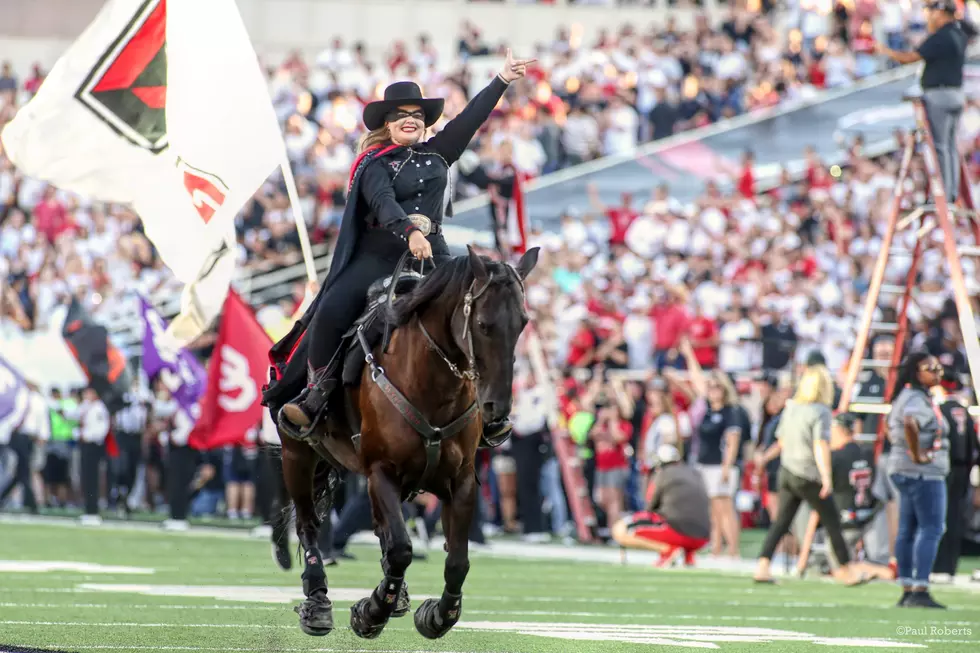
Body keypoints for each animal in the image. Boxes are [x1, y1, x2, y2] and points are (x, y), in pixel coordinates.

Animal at [276, 244, 540, 636]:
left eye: (522, 323)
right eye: (482, 324)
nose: (497, 407)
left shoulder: (460, 481)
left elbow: (457, 561)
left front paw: (438, 615)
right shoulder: (381, 472)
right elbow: (401, 548)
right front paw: (371, 612)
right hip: (297, 452)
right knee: (308, 523)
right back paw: (318, 601)